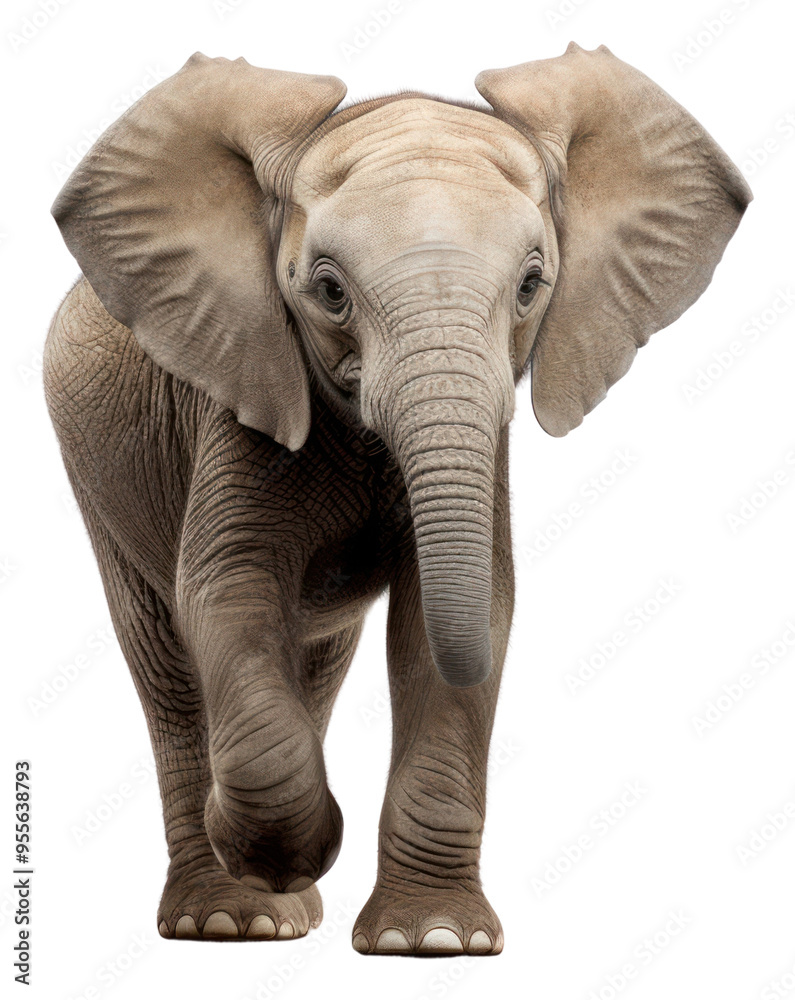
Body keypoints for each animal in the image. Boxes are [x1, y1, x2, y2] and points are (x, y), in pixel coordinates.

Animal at [44, 43, 751, 956]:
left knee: (315, 653)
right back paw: (233, 918)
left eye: (532, 285)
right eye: (328, 291)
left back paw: (291, 912)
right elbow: (228, 589)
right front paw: (272, 852)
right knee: (165, 659)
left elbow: (454, 611)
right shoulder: (239, 393)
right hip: (93, 467)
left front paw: (436, 941)